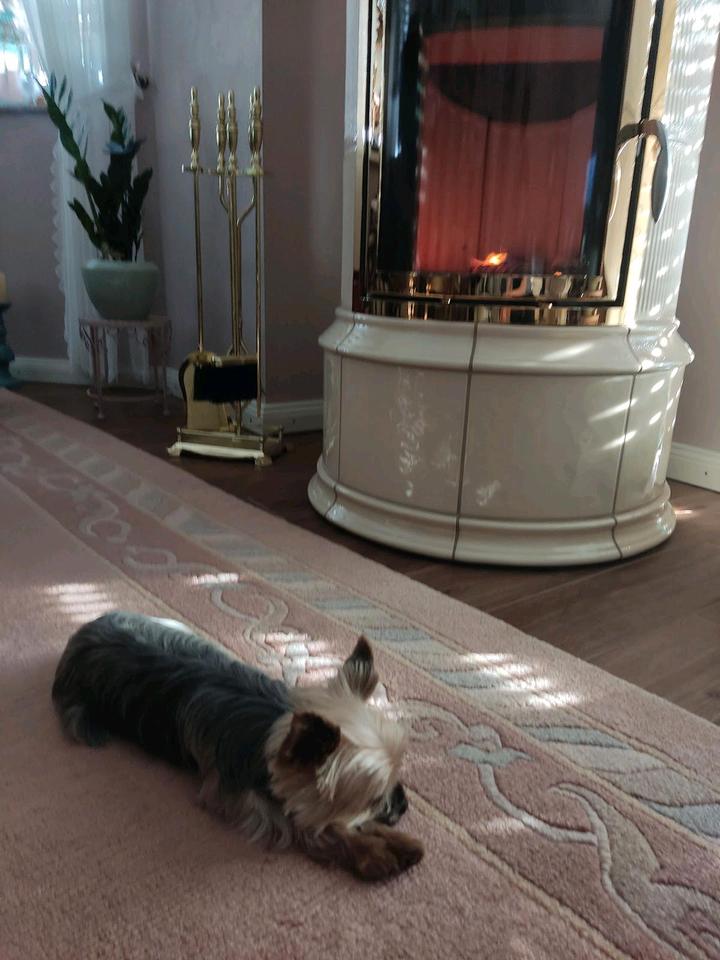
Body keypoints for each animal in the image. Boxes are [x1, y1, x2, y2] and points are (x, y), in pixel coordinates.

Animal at [52, 612, 423, 881]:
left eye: (397, 778)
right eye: (371, 799)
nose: (404, 805)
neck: (272, 726)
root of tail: (85, 629)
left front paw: (397, 842)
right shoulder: (241, 799)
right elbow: (310, 825)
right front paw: (372, 853)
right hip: (79, 713)